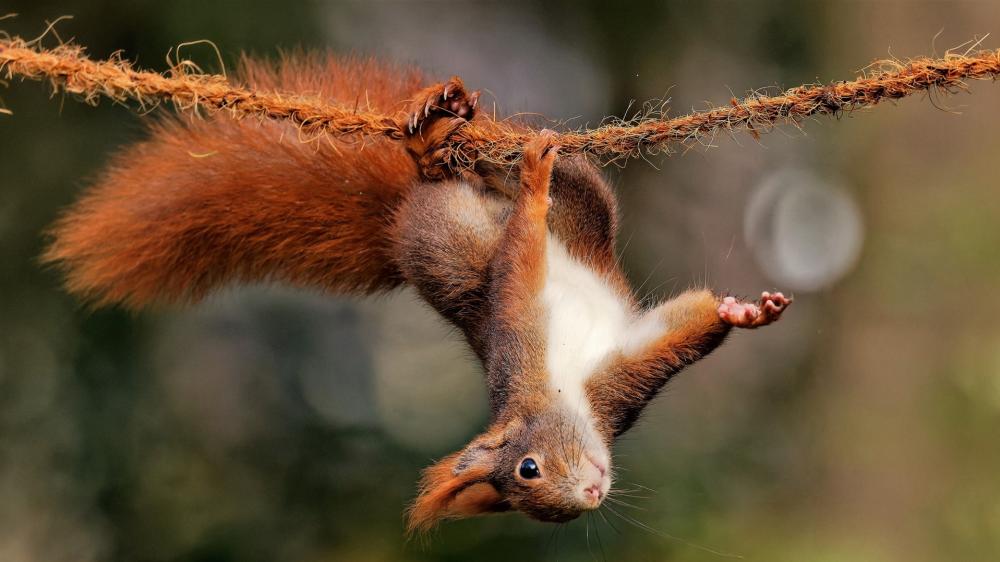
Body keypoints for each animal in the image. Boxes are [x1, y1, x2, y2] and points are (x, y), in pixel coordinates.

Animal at [41, 54, 791, 532]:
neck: (561, 390)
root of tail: (398, 221)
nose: (590, 493)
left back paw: (446, 125)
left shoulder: (576, 366)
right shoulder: (603, 374)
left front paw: (744, 311)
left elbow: (527, 260)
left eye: (526, 467)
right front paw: (741, 313)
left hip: (560, 216)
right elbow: (674, 331)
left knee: (531, 170)